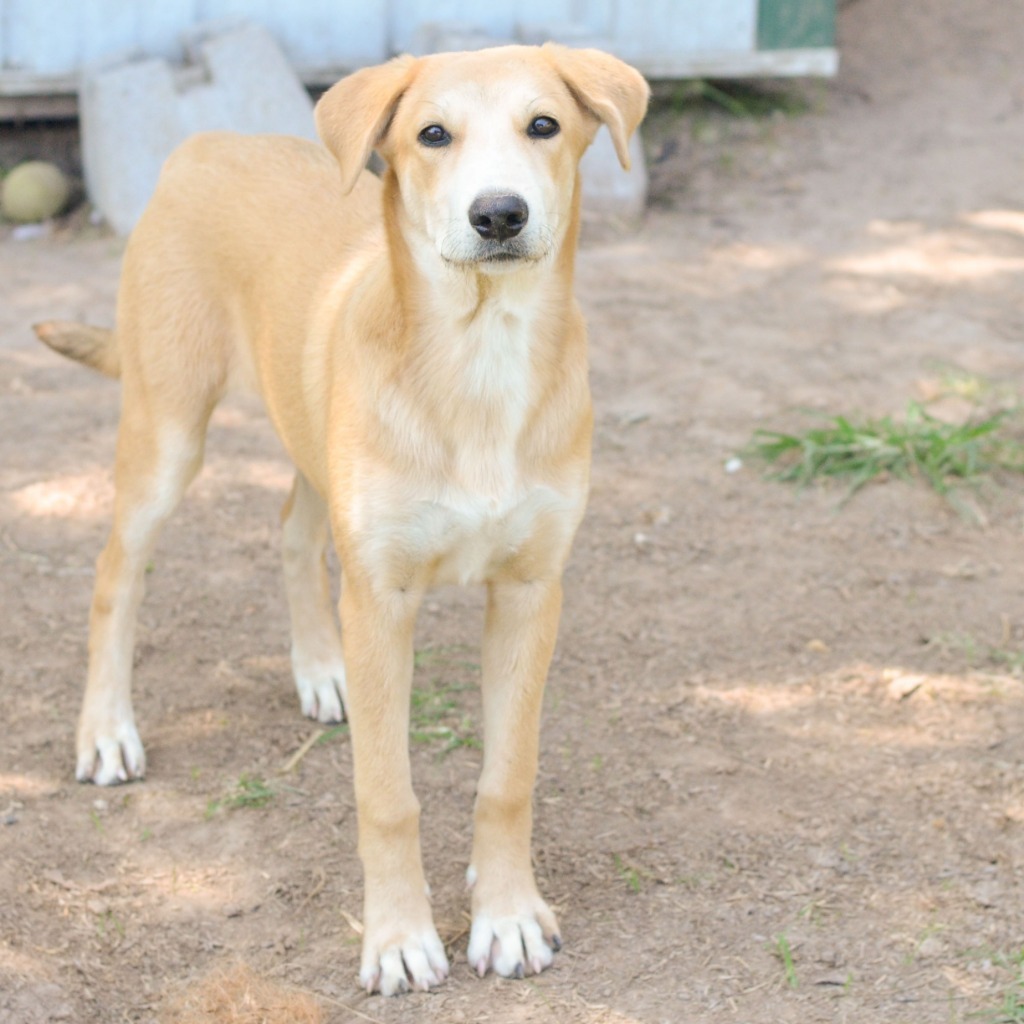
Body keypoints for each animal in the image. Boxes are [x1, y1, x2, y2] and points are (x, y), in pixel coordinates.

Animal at [36, 46, 647, 991]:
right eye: (432, 135)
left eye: (544, 125)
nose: (499, 214)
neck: (478, 356)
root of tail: (208, 142)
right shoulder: (383, 599)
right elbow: (387, 795)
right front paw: (397, 939)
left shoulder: (530, 591)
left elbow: (508, 778)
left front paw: (507, 915)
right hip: (166, 430)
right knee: (115, 576)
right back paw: (106, 733)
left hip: (309, 436)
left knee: (293, 532)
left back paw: (322, 670)